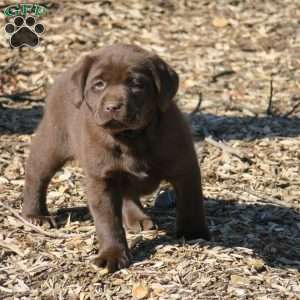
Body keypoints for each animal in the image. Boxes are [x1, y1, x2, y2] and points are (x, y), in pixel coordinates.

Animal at [22, 44, 210, 272]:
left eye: (136, 84)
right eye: (99, 84)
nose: (113, 106)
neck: (131, 137)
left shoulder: (185, 167)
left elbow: (191, 203)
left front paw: (194, 232)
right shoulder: (102, 179)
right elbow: (108, 221)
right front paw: (112, 254)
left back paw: (137, 217)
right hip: (54, 140)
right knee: (36, 173)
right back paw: (35, 214)